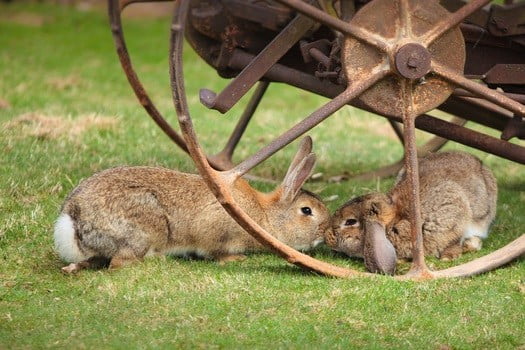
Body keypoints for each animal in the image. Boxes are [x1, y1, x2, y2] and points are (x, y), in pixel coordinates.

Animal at [52, 137, 328, 274]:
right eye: (307, 211)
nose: (324, 235)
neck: (265, 215)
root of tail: (73, 217)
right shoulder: (216, 231)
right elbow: (215, 251)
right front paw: (234, 259)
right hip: (145, 230)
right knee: (120, 263)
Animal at [328, 152, 496, 274]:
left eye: (350, 222)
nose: (327, 235)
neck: (396, 220)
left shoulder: (452, 216)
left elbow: (453, 239)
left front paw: (448, 257)